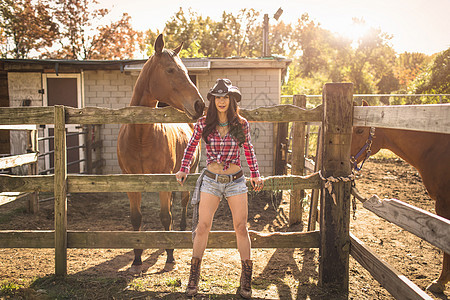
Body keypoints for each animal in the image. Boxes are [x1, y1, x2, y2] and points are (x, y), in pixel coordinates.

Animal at [118, 34, 206, 274]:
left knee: (184, 201)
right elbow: (136, 218)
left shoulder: (163, 179)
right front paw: (137, 259)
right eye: (170, 70)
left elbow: (165, 217)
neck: (140, 136)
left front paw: (170, 257)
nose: (200, 105)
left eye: (185, 70)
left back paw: (182, 228)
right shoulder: (130, 180)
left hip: (188, 172)